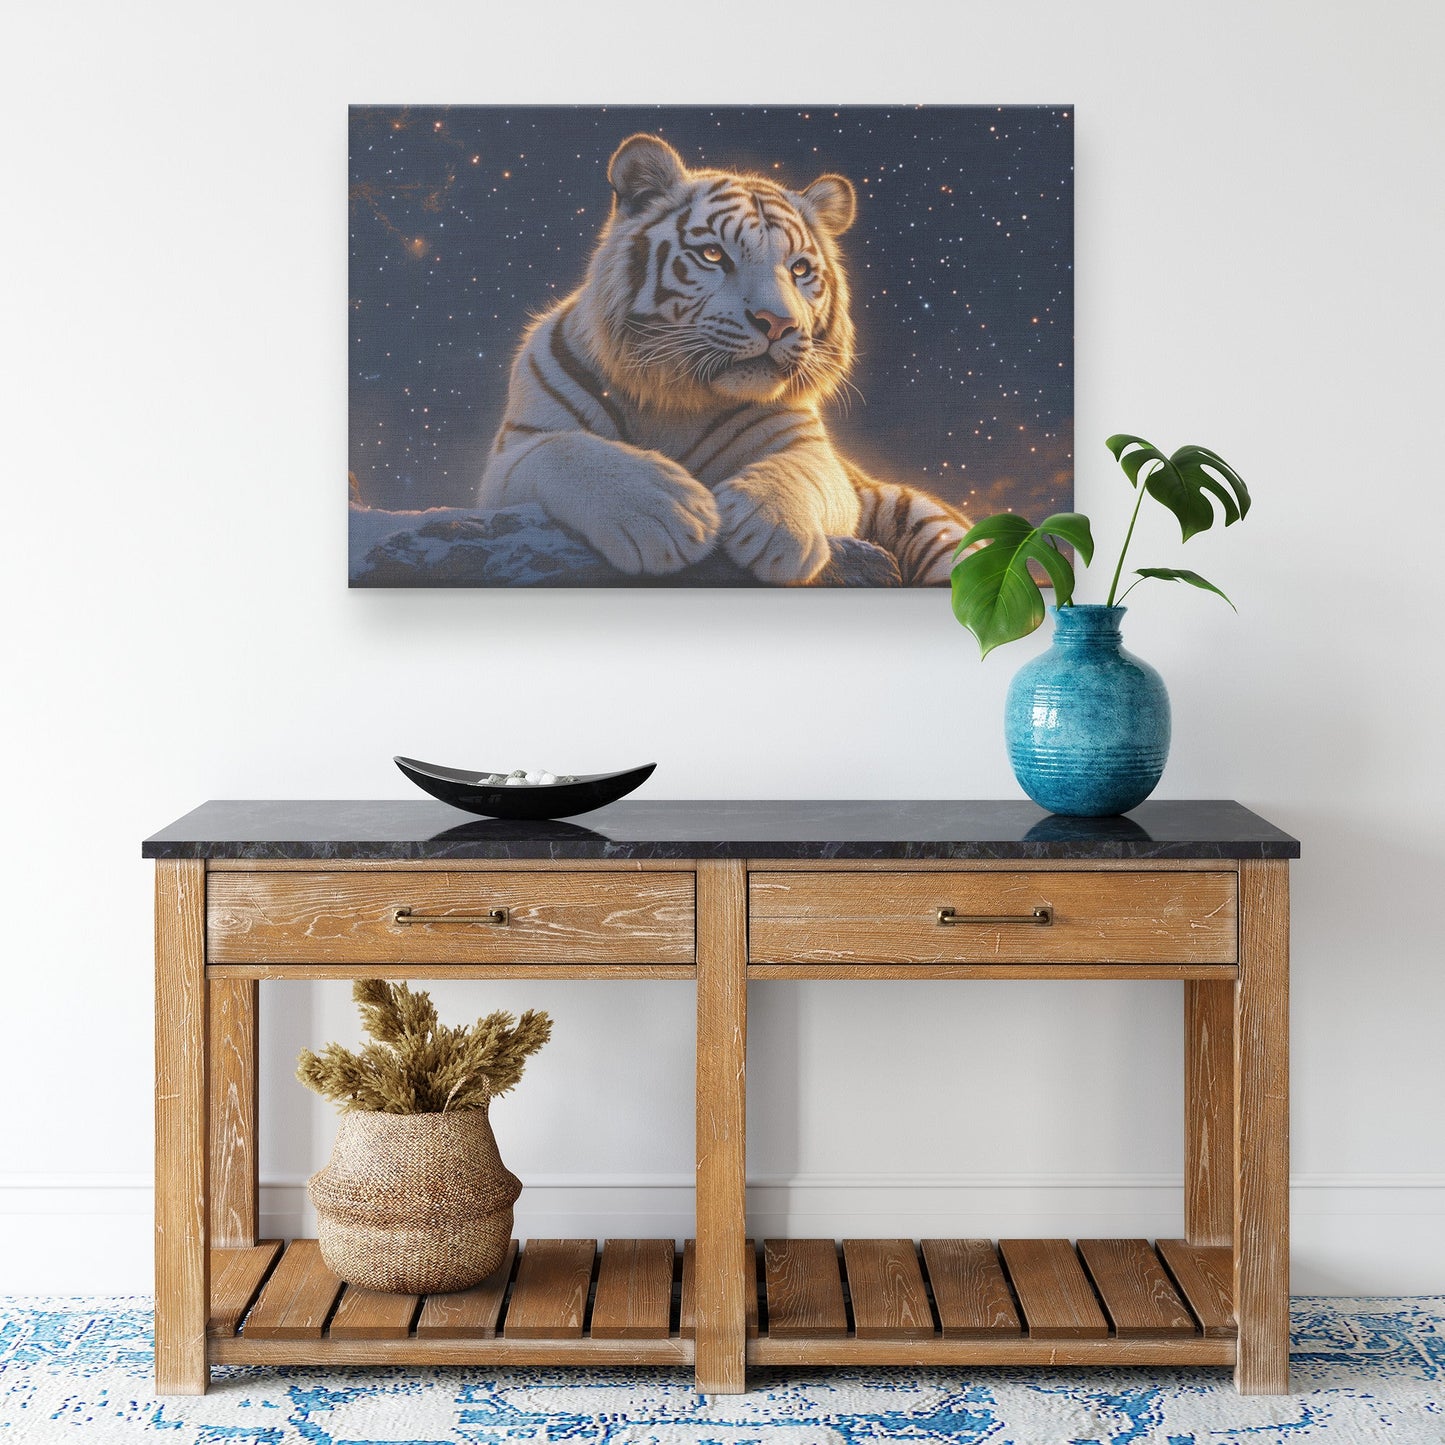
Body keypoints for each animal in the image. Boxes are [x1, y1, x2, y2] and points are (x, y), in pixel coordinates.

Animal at [478, 133, 968, 585]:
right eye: (714, 254)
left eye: (800, 269)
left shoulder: (813, 450)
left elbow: (800, 470)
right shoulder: (513, 455)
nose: (778, 323)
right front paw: (665, 514)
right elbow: (569, 450)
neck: (676, 399)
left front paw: (774, 525)